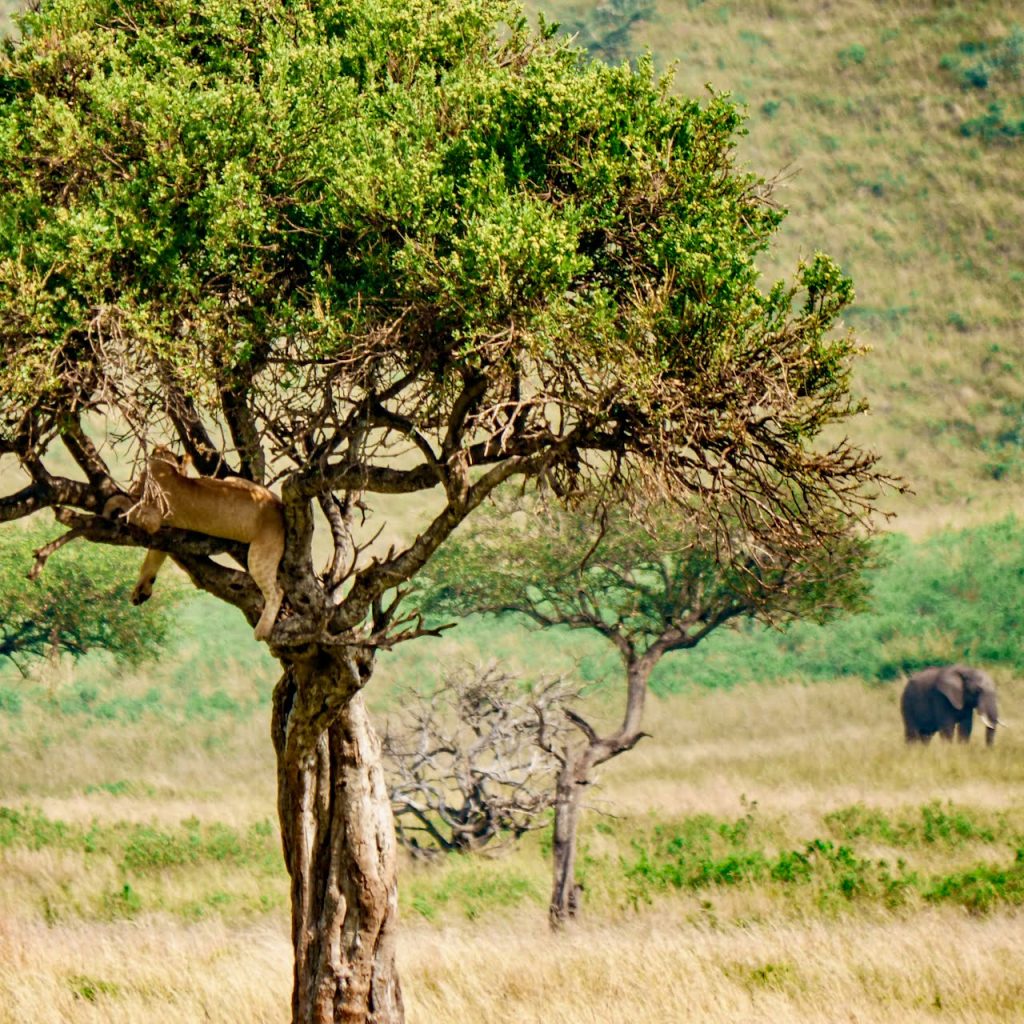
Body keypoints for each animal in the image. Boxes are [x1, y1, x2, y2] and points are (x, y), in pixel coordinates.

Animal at [118, 447, 286, 641]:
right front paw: (140, 592)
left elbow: (130, 513)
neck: (168, 470)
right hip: (230, 480)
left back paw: (262, 630)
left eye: (138, 478)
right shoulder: (163, 534)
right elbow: (150, 561)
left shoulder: (152, 521)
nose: (132, 488)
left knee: (277, 591)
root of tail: (278, 504)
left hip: (260, 555)